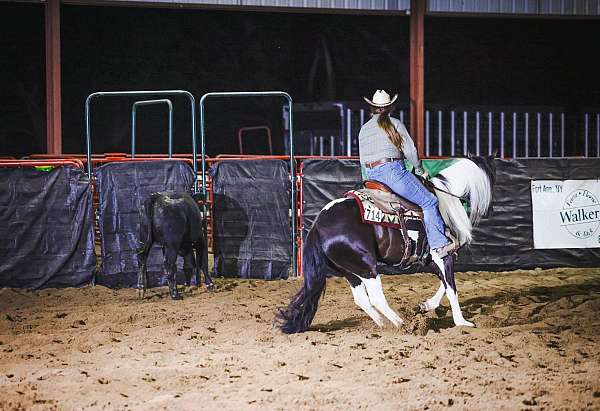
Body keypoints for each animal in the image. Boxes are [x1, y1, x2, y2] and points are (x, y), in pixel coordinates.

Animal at [278, 158, 494, 334]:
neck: (445, 201)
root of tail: (318, 225)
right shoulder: (442, 255)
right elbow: (451, 287)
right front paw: (462, 322)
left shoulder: (433, 259)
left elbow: (445, 283)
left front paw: (426, 305)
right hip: (367, 266)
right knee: (376, 297)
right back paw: (401, 324)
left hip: (350, 270)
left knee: (362, 299)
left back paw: (382, 324)